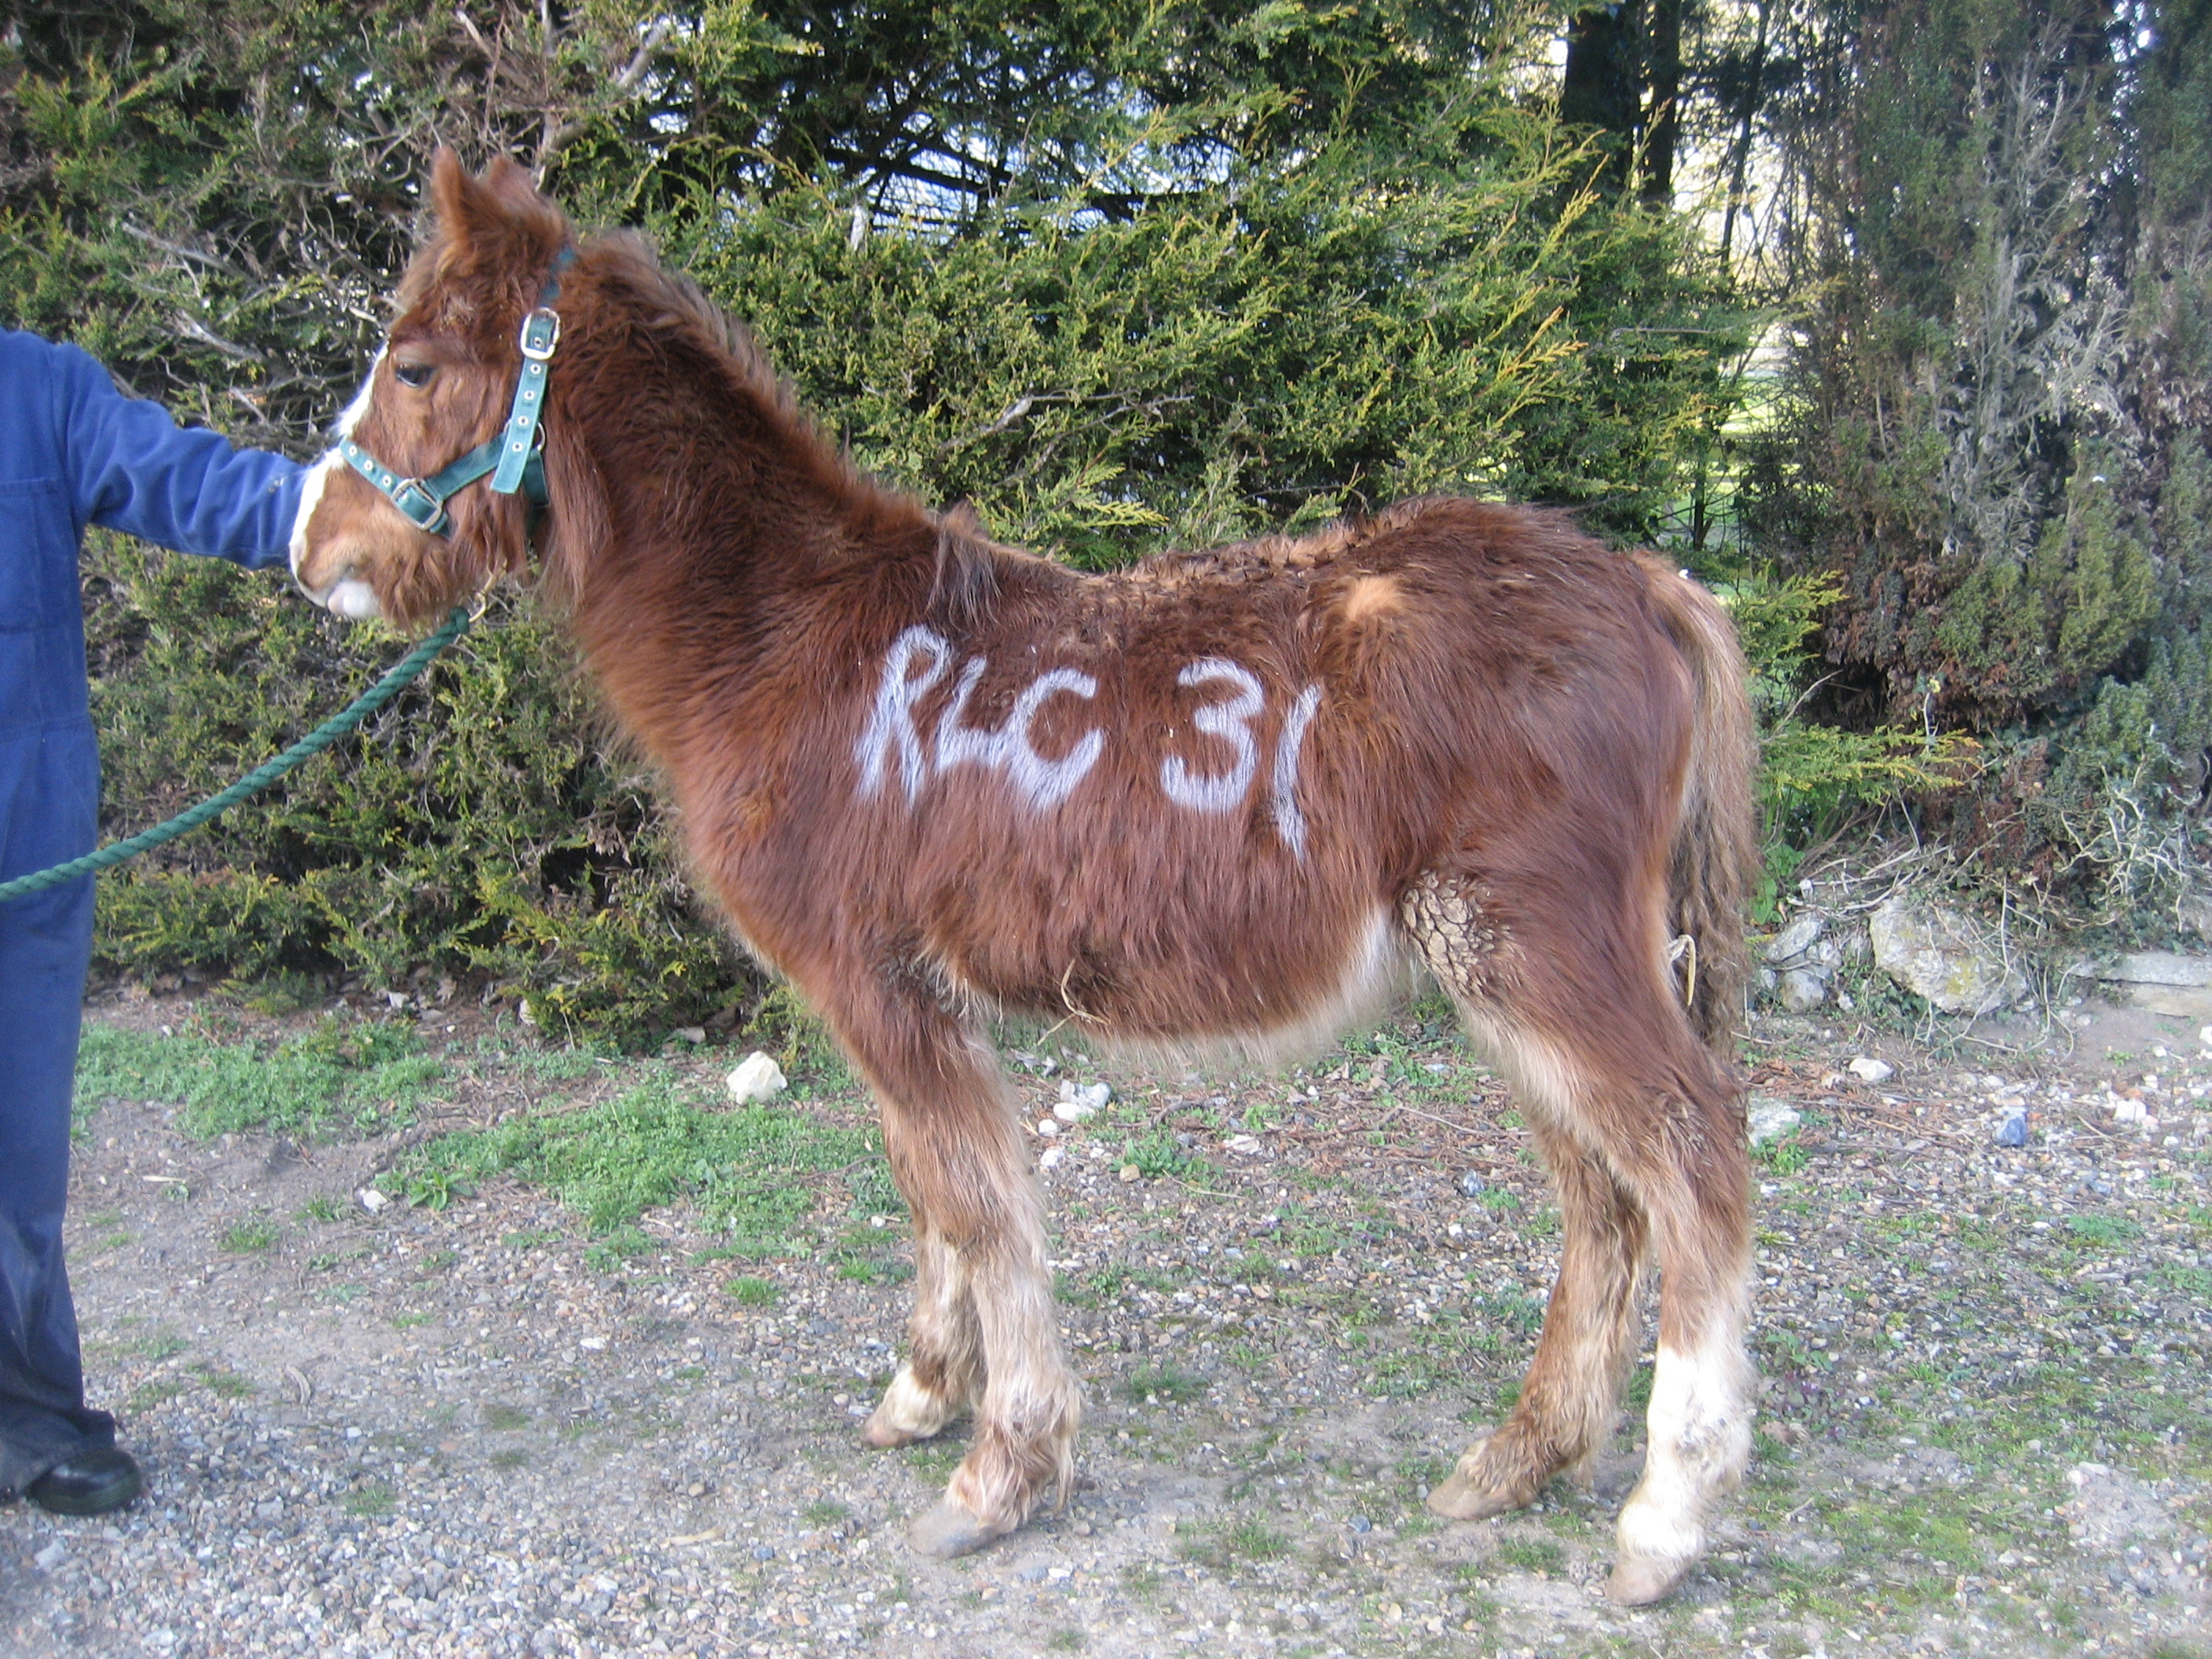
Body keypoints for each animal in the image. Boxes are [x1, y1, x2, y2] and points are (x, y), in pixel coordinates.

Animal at [291, 151, 1760, 1606]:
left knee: (1693, 1163)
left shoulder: (875, 987)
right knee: (1602, 1203)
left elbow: (981, 1207)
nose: (313, 550)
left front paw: (1002, 1472)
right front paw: (924, 1395)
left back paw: (1663, 1519)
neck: (790, 642)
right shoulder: (903, 999)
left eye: (414, 366)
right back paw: (1517, 1463)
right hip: (1501, 979)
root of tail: (1643, 580)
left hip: (1538, 959)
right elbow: (934, 1194)